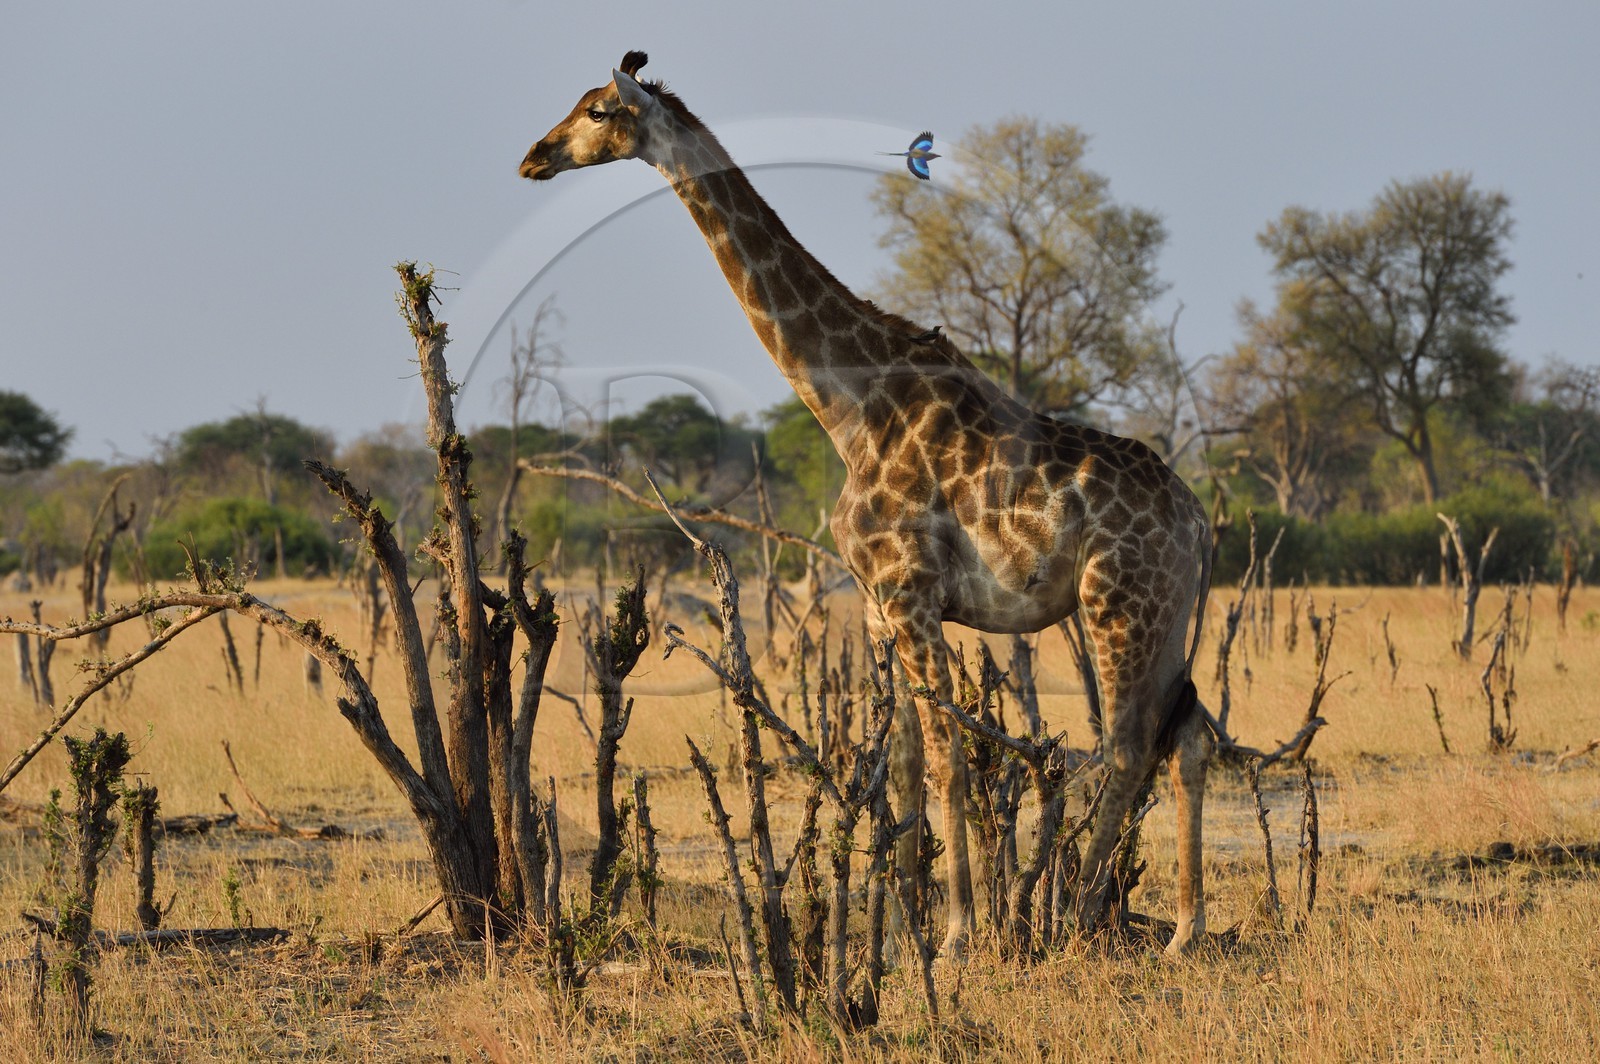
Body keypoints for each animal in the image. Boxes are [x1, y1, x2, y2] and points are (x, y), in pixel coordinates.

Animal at [520, 52, 1215, 958]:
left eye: (599, 111)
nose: (533, 158)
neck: (848, 404)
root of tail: (1198, 521)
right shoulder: (884, 607)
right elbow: (909, 762)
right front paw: (902, 934)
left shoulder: (910, 590)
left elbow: (951, 750)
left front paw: (957, 934)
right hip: (1171, 613)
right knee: (1189, 736)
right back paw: (1184, 931)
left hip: (1118, 602)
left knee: (1130, 745)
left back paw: (1076, 918)